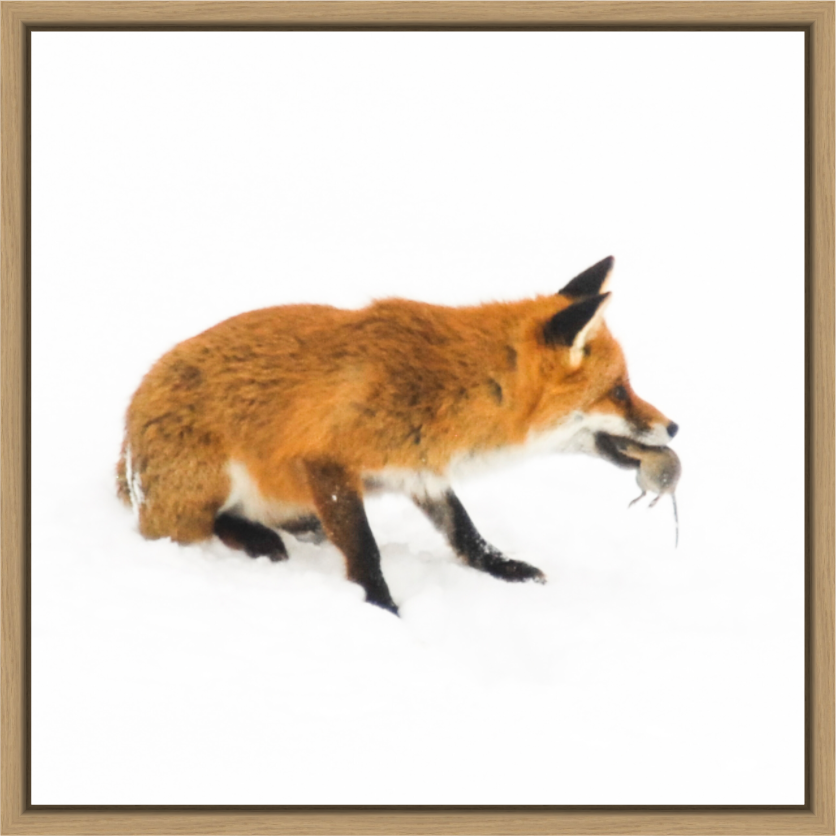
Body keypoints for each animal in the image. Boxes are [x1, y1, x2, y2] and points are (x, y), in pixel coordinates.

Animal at [117, 256, 677, 615]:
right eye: (620, 391)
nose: (675, 425)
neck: (452, 387)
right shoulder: (326, 461)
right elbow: (365, 549)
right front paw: (382, 607)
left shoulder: (420, 469)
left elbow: (465, 531)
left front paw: (503, 568)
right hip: (207, 484)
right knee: (193, 526)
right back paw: (256, 538)